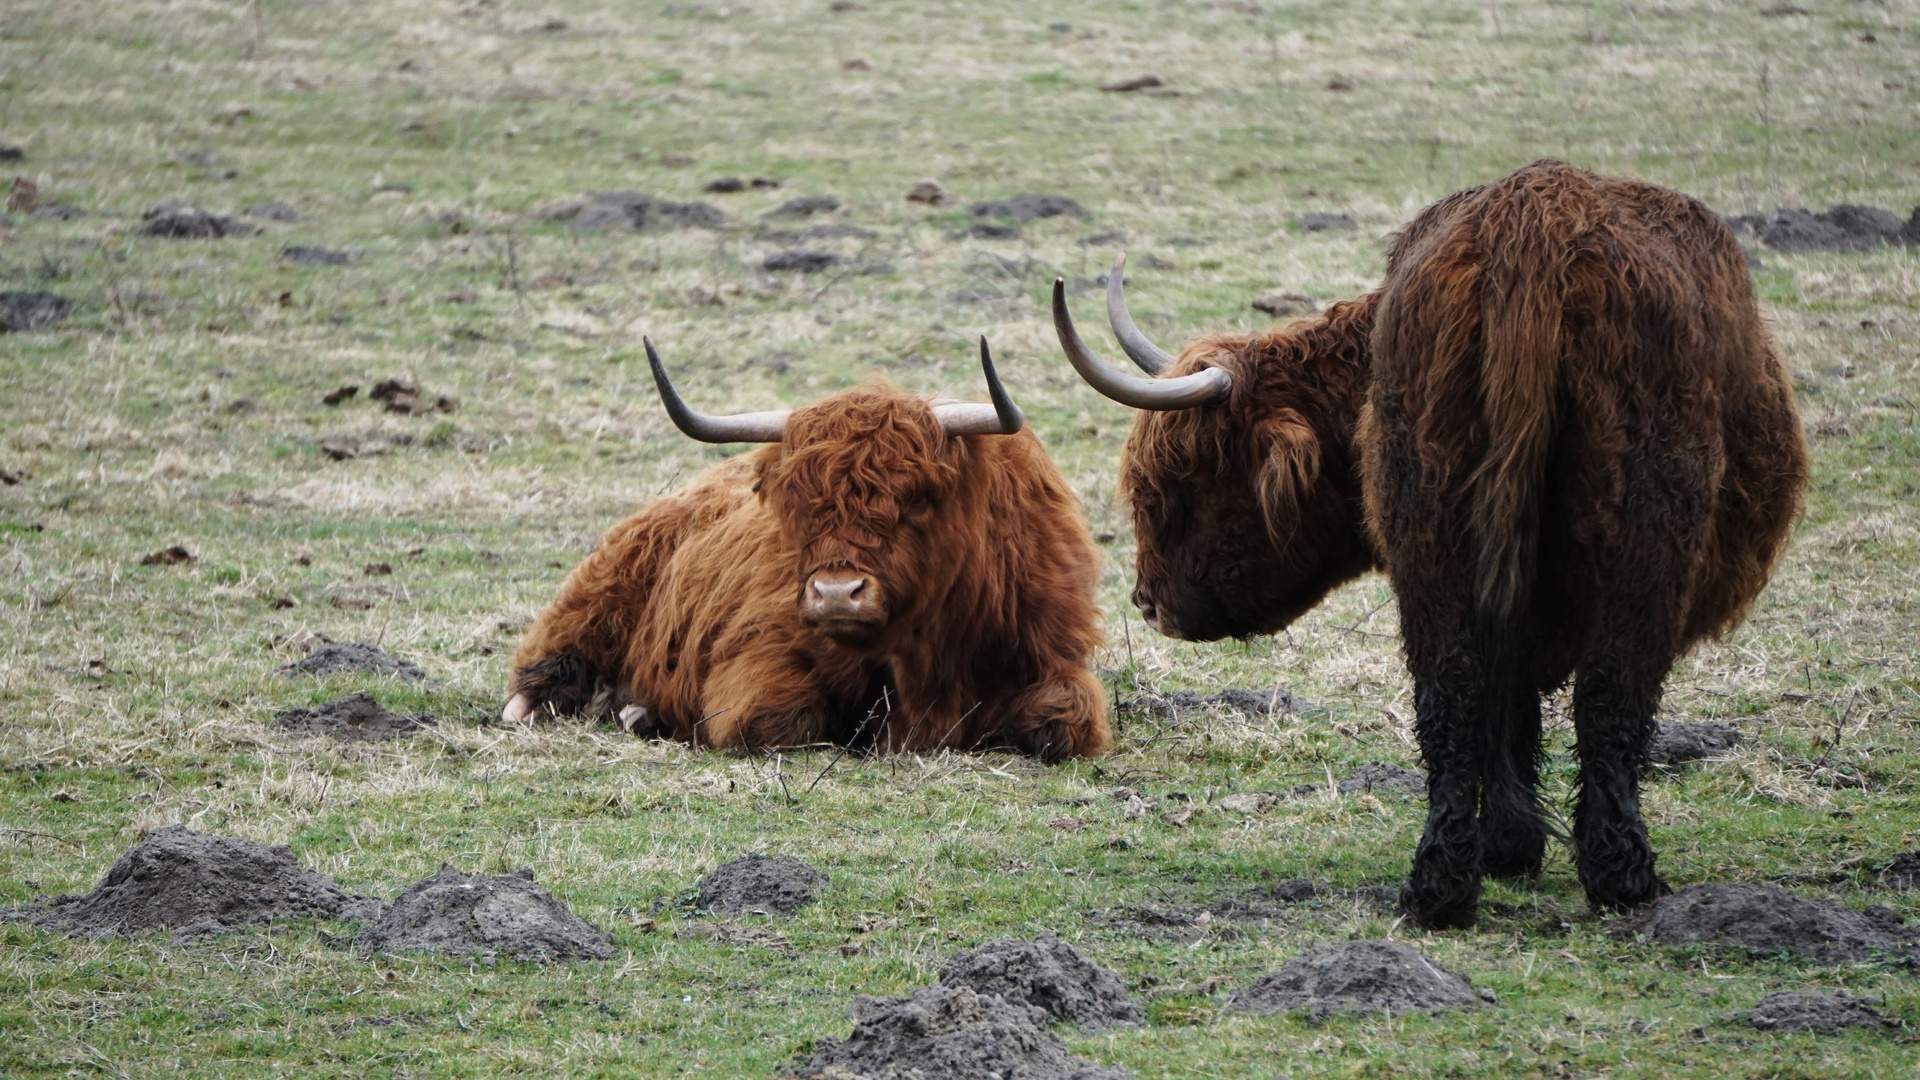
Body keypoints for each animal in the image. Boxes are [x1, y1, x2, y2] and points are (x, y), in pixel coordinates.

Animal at [503, 336, 1113, 757]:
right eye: (798, 504)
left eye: (916, 498)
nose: (837, 593)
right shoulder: (759, 655)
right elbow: (779, 719)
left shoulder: (1053, 653)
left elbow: (1065, 722)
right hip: (598, 597)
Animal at [1059, 161, 1804, 926]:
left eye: (1183, 484)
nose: (1147, 603)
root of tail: (1533, 217)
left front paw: (1510, 843)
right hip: (1643, 539)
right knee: (1609, 691)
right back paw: (1621, 878)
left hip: (1428, 521)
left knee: (1451, 688)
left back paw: (1443, 885)